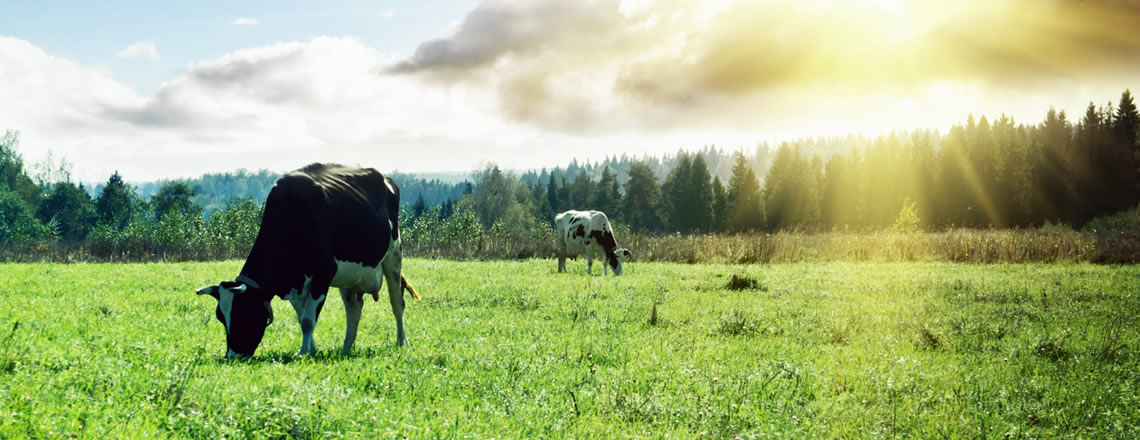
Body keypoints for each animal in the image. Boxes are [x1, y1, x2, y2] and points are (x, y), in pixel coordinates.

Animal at [196, 163, 420, 359]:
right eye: (221, 318)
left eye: (244, 313)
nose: (231, 356)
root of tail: (385, 178)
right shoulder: (297, 283)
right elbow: (301, 316)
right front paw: (312, 350)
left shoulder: (323, 274)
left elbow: (307, 321)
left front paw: (304, 352)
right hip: (350, 276)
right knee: (354, 309)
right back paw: (346, 348)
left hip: (393, 254)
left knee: (397, 303)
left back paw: (401, 342)